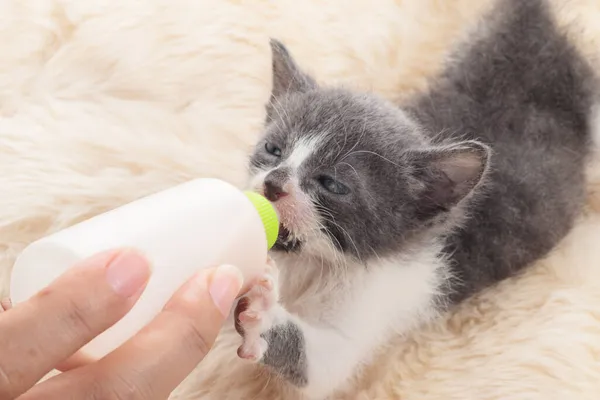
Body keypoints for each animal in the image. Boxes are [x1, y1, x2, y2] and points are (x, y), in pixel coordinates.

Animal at [233, 1, 596, 398]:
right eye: (273, 150)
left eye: (333, 185)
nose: (274, 183)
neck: (312, 265)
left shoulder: (384, 298)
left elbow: (323, 366)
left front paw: (262, 317)